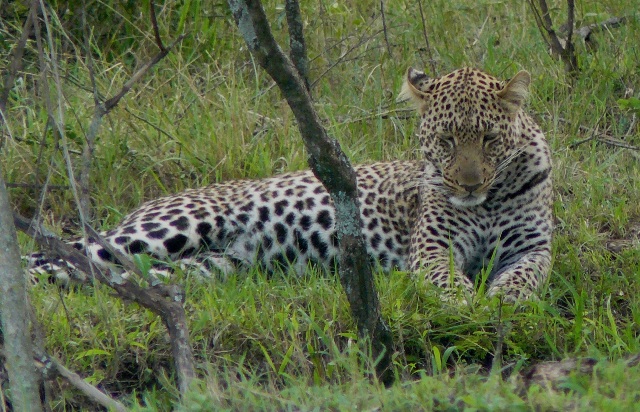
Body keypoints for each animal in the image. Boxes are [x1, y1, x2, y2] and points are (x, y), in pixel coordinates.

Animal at [27, 67, 552, 300]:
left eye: (489, 140)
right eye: (446, 141)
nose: (468, 185)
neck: (489, 201)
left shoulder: (534, 247)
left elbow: (526, 275)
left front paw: (504, 299)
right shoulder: (431, 245)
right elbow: (444, 275)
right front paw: (464, 302)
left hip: (204, 267)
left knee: (90, 271)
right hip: (167, 228)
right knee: (53, 252)